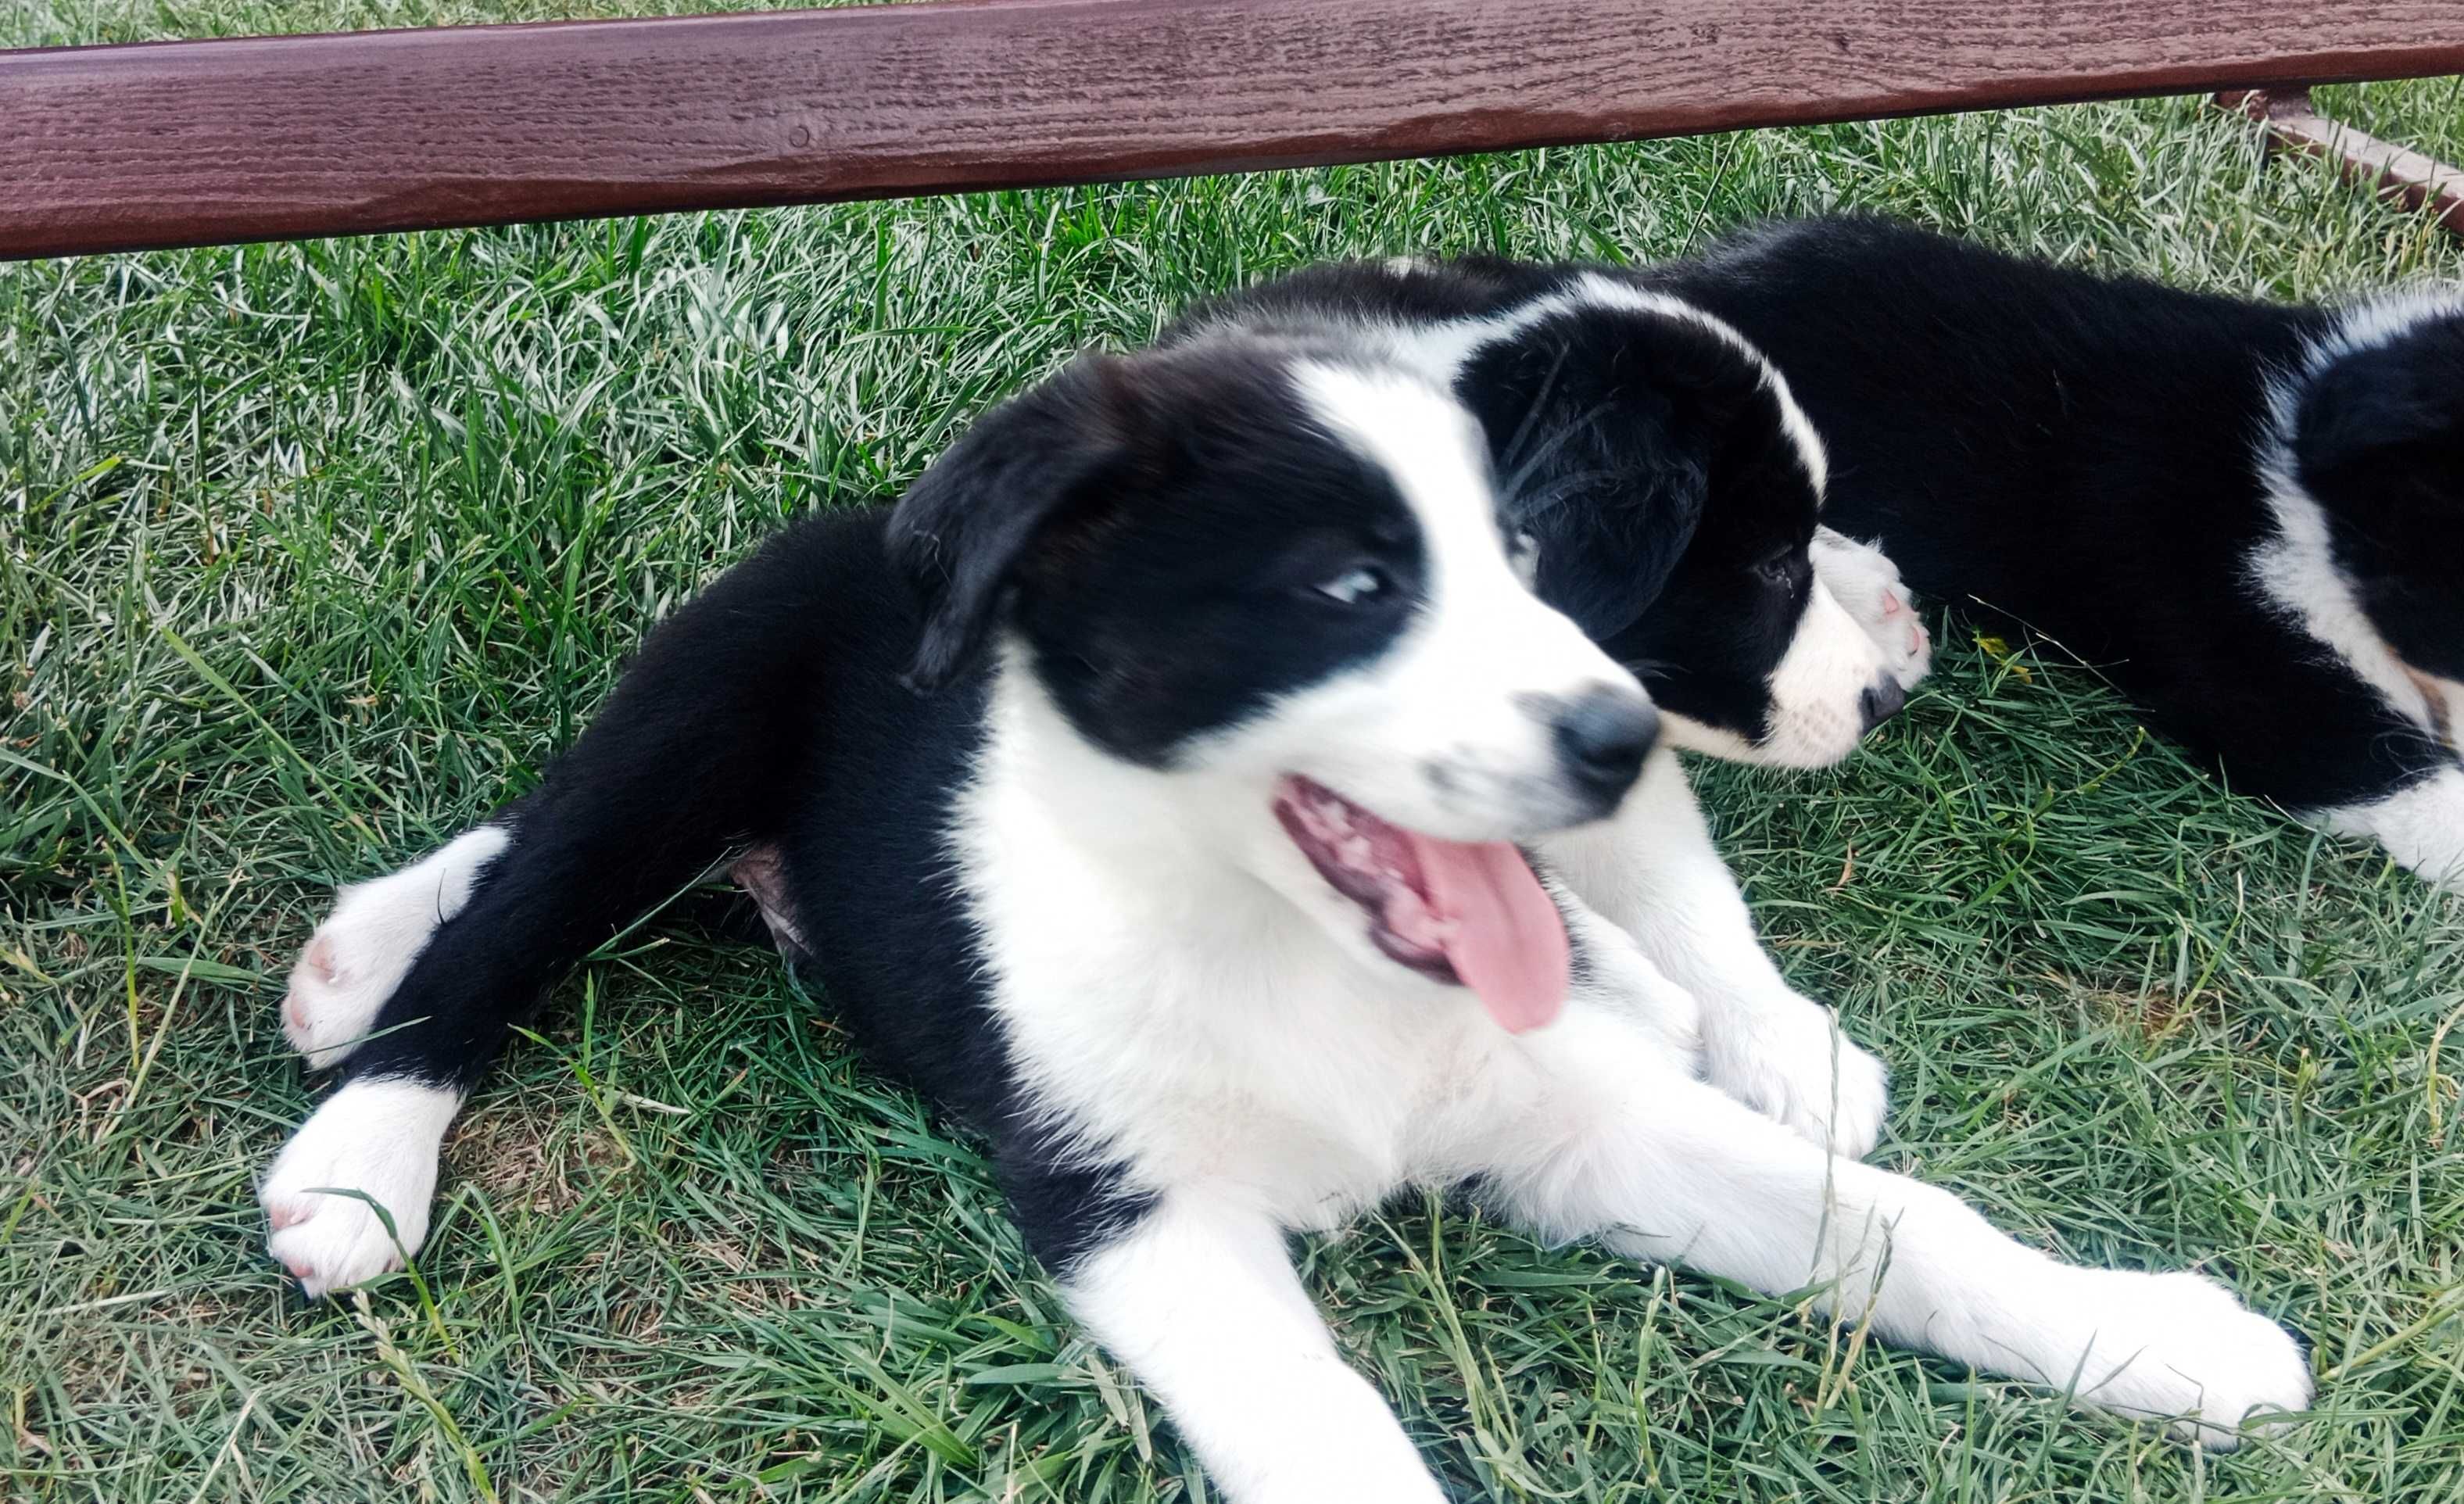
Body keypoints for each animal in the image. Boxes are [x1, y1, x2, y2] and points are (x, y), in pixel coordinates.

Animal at [270, 328, 2306, 1489]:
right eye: (1350, 586)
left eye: (1526, 559)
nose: (1615, 733)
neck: (1299, 966)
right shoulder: (1134, 1205)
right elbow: (1329, 1431)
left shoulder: (1573, 1125)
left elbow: (1896, 1223)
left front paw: (2156, 1335)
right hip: (699, 706)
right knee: (536, 887)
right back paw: (368, 1118)